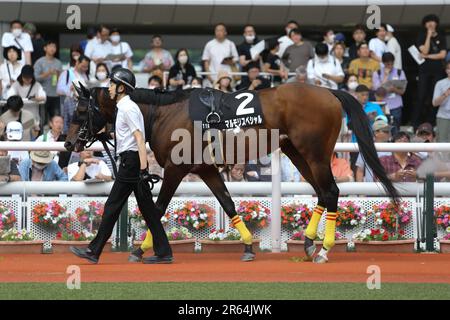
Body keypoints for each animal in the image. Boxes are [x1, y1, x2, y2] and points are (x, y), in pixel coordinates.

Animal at [65, 82, 400, 262]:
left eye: (81, 110)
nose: (69, 143)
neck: (165, 112)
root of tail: (329, 93)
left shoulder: (175, 168)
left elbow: (156, 209)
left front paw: (141, 249)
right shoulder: (206, 168)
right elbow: (227, 203)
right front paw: (249, 246)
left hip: (314, 153)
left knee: (330, 191)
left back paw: (324, 249)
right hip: (297, 152)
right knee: (321, 192)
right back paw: (307, 242)